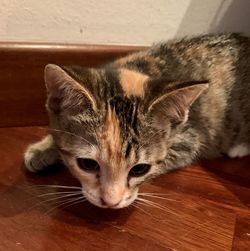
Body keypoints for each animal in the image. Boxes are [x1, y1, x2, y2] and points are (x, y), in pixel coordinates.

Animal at [24, 33, 250, 210]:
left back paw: (239, 148)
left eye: (139, 169)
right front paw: (42, 149)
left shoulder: (189, 140)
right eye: (87, 164)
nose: (111, 202)